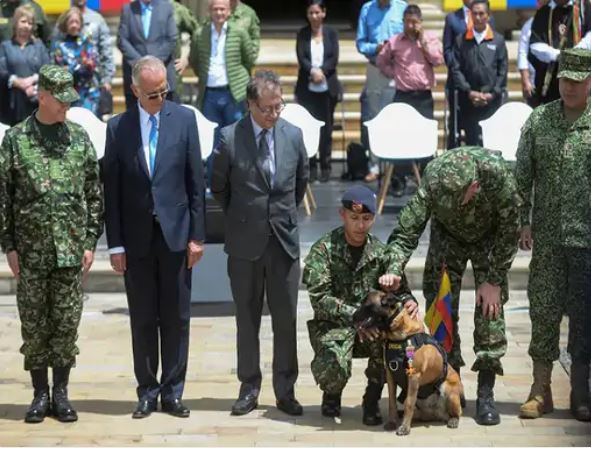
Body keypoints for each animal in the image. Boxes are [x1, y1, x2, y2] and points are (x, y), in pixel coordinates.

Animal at [354, 290, 464, 434]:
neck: (397, 335)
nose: (352, 316)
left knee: (458, 412)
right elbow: (392, 403)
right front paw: (392, 422)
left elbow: (409, 403)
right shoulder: (391, 376)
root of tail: (436, 414)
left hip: (449, 390)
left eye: (366, 304)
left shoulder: (413, 377)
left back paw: (453, 420)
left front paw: (405, 427)